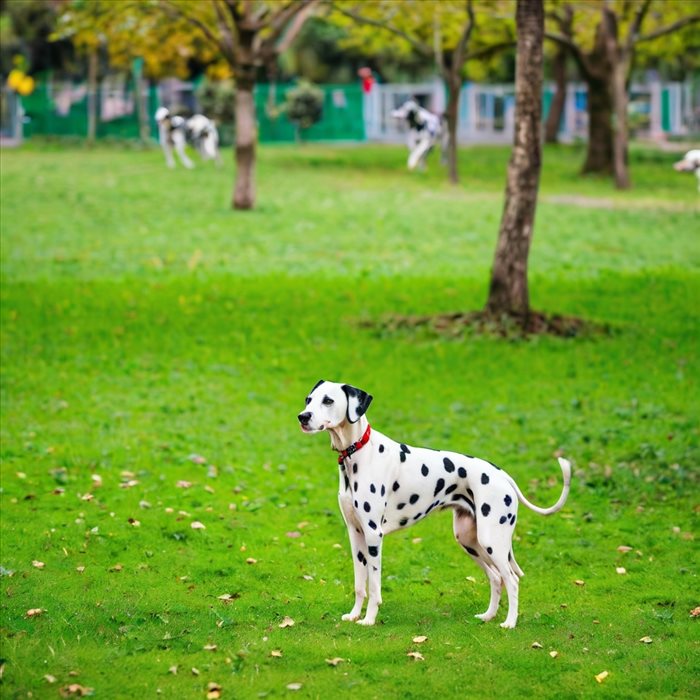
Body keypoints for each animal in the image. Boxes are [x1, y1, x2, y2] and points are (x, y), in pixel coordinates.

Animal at [298, 382, 572, 628]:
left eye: (328, 400)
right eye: (308, 400)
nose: (303, 416)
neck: (360, 453)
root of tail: (502, 474)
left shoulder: (374, 535)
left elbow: (374, 586)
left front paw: (369, 620)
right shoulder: (356, 535)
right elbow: (359, 584)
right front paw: (355, 615)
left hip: (492, 540)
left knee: (512, 579)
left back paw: (509, 623)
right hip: (470, 541)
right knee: (496, 578)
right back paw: (488, 616)